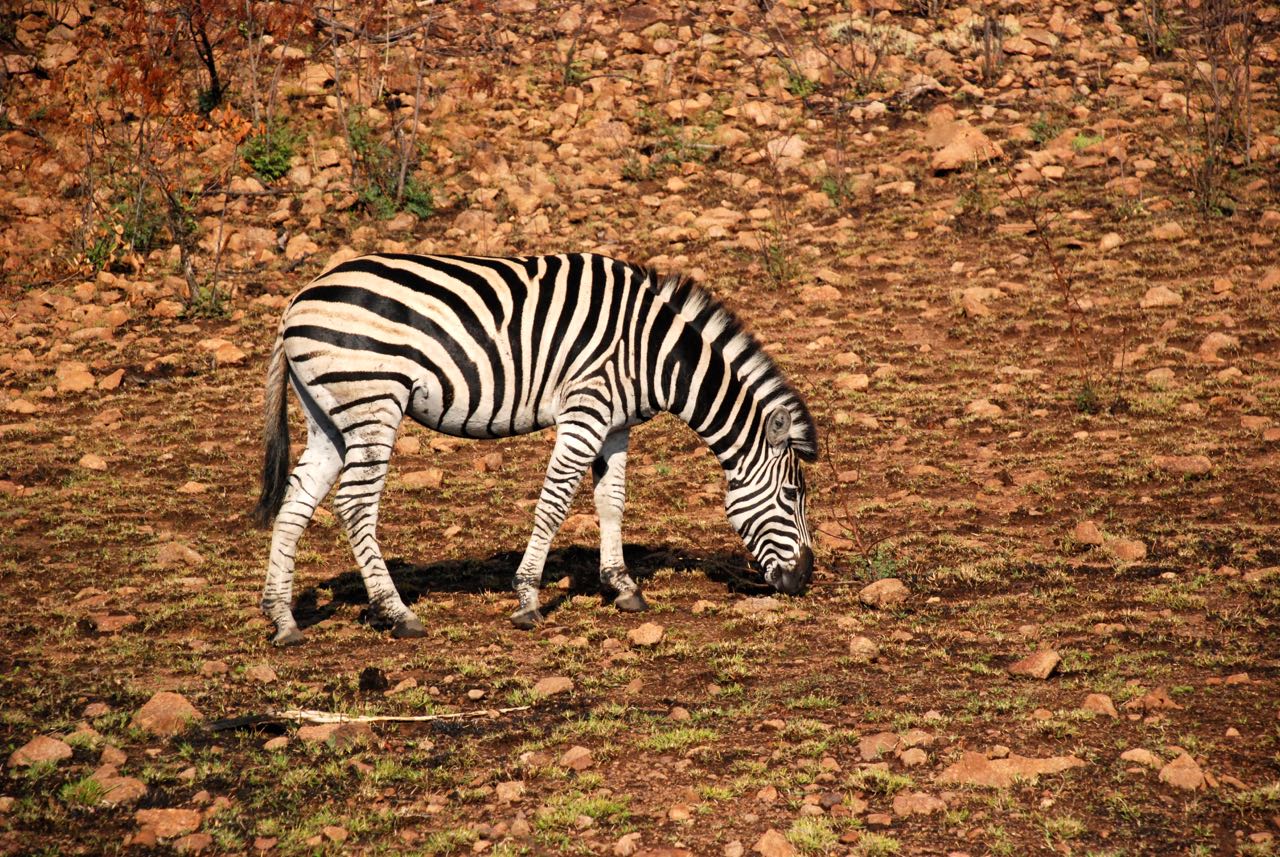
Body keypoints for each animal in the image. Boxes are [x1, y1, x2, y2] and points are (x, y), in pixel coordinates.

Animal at [253, 253, 814, 644]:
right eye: (793, 495)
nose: (805, 579)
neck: (654, 353)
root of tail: (297, 300)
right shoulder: (586, 408)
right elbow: (555, 503)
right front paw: (527, 598)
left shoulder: (615, 425)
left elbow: (611, 502)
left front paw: (622, 586)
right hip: (373, 401)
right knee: (354, 505)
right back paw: (398, 613)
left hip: (329, 416)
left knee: (296, 501)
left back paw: (283, 620)